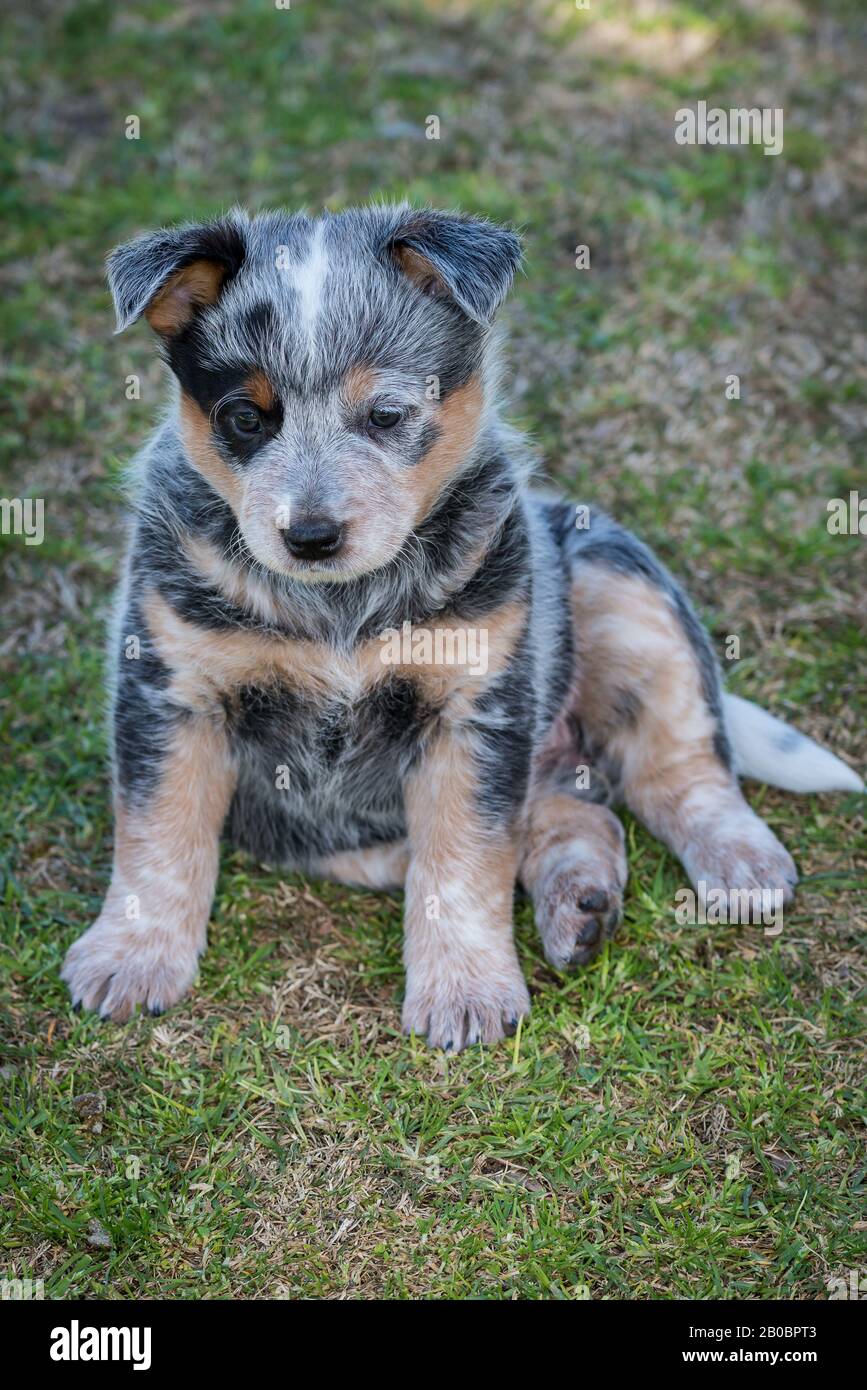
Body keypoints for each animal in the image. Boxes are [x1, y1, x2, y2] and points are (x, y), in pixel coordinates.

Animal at [59, 205, 861, 1045]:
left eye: (386, 414)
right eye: (244, 417)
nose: (309, 536)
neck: (340, 607)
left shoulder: (475, 706)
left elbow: (465, 859)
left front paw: (465, 991)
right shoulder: (169, 688)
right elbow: (156, 836)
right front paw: (130, 958)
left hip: (621, 583)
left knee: (679, 767)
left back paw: (739, 864)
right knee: (578, 816)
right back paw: (577, 906)